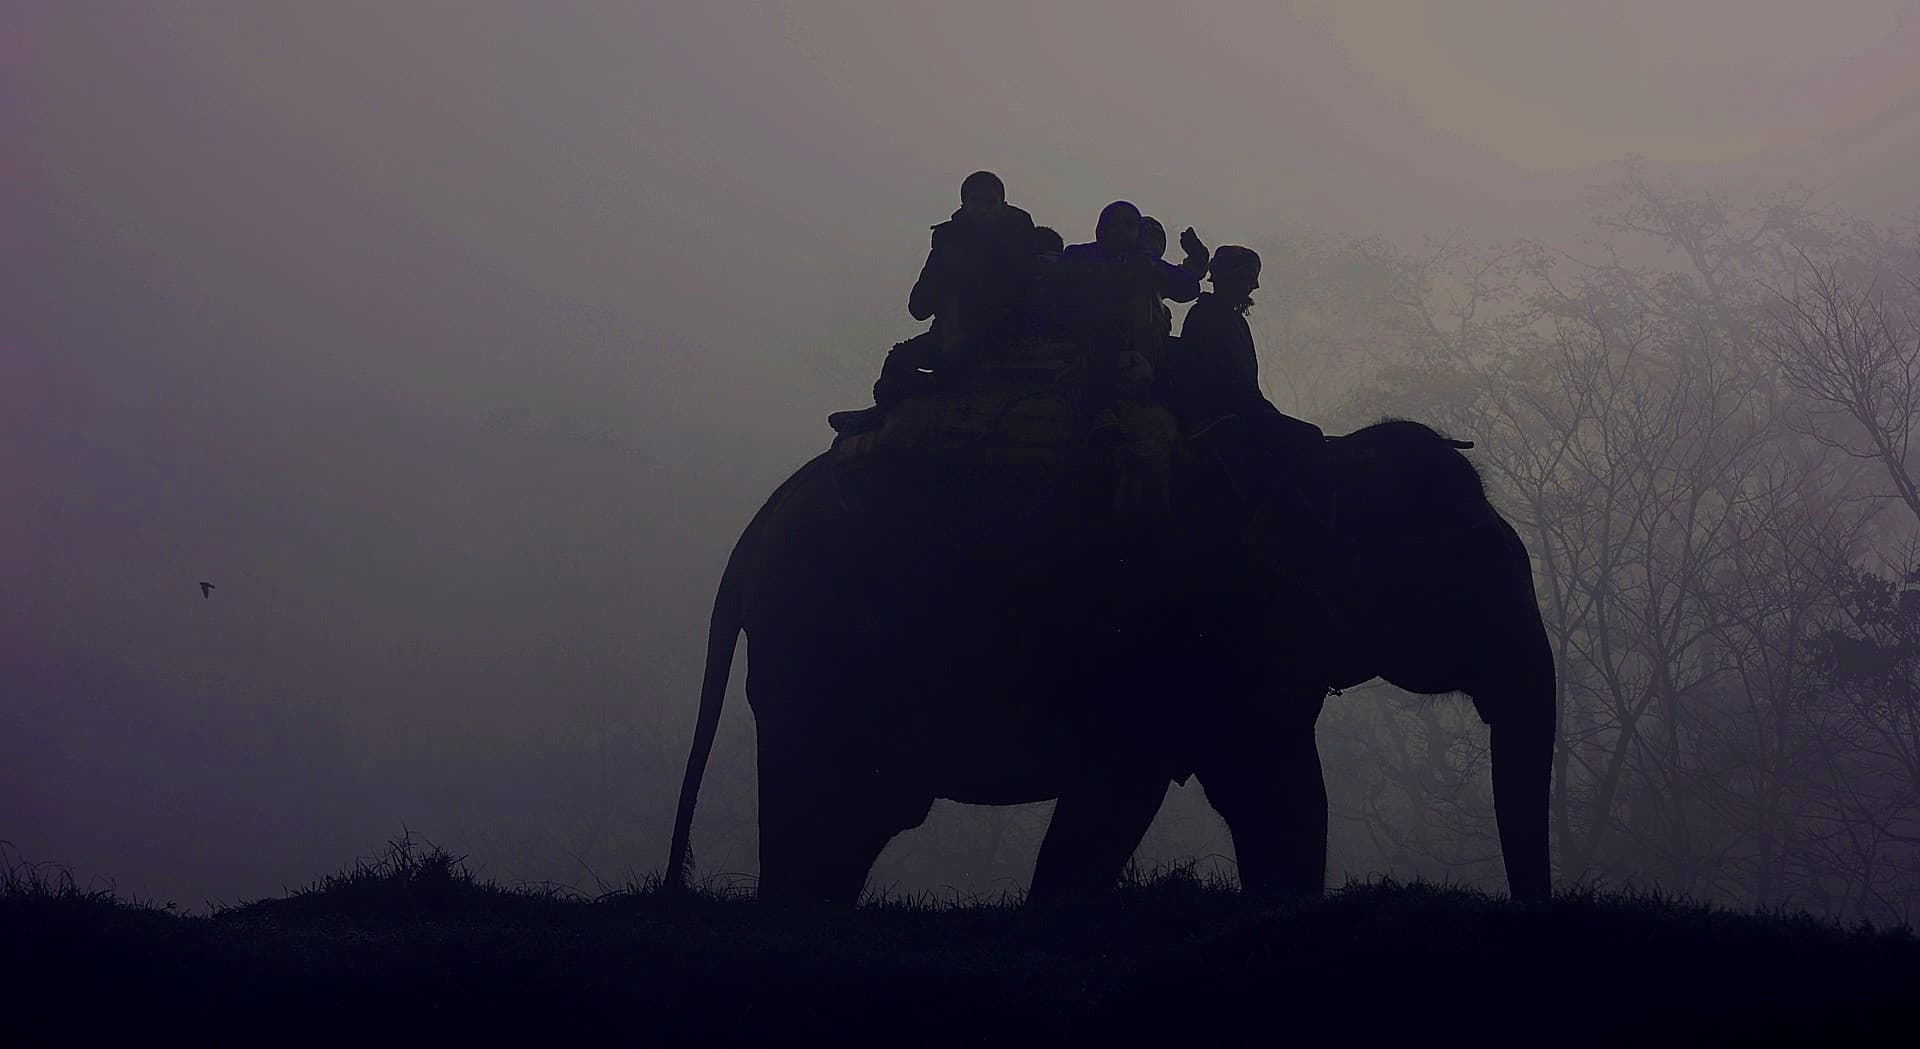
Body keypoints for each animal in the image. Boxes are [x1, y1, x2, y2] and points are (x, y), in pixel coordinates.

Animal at [668, 416, 1551, 906]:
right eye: (1476, 571)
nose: (1530, 907)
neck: (1326, 460)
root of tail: (757, 528)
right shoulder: (1184, 633)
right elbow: (1141, 792)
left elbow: (1281, 793)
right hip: (821, 653)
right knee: (823, 809)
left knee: (851, 822)